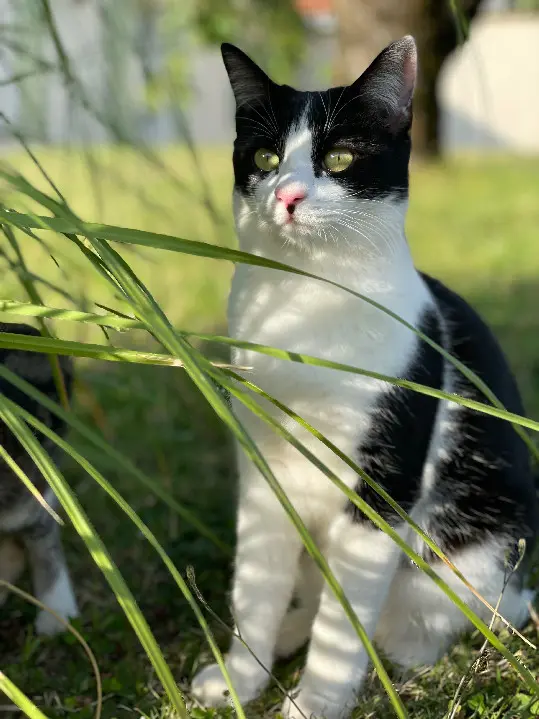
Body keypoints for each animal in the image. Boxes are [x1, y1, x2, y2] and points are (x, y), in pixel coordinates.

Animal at [192, 38, 536, 719]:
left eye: (340, 157)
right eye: (267, 158)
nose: (288, 197)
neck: (305, 301)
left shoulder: (385, 479)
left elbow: (344, 617)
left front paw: (317, 701)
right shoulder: (263, 468)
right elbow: (256, 584)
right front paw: (240, 679)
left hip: (474, 553)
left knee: (431, 617)